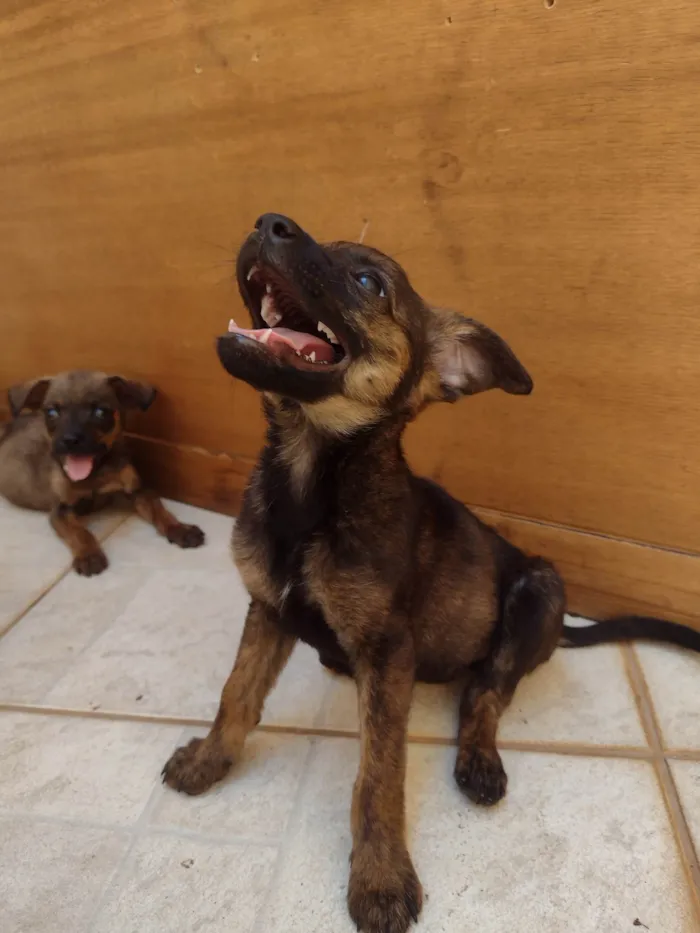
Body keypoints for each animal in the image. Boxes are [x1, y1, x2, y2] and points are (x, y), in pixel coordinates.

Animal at [1, 372, 205, 576]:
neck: (95, 473)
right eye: (52, 413)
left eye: (100, 412)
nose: (70, 440)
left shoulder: (139, 491)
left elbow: (161, 512)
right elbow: (81, 532)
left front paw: (180, 529)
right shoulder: (61, 510)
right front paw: (89, 555)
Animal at [161, 215, 696, 932]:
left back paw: (479, 757)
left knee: (487, 693)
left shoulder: (389, 651)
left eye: (369, 281)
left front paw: (381, 876)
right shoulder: (268, 608)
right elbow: (236, 694)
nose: (269, 223)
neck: (309, 484)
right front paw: (207, 760)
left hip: (540, 590)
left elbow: (378, 776)